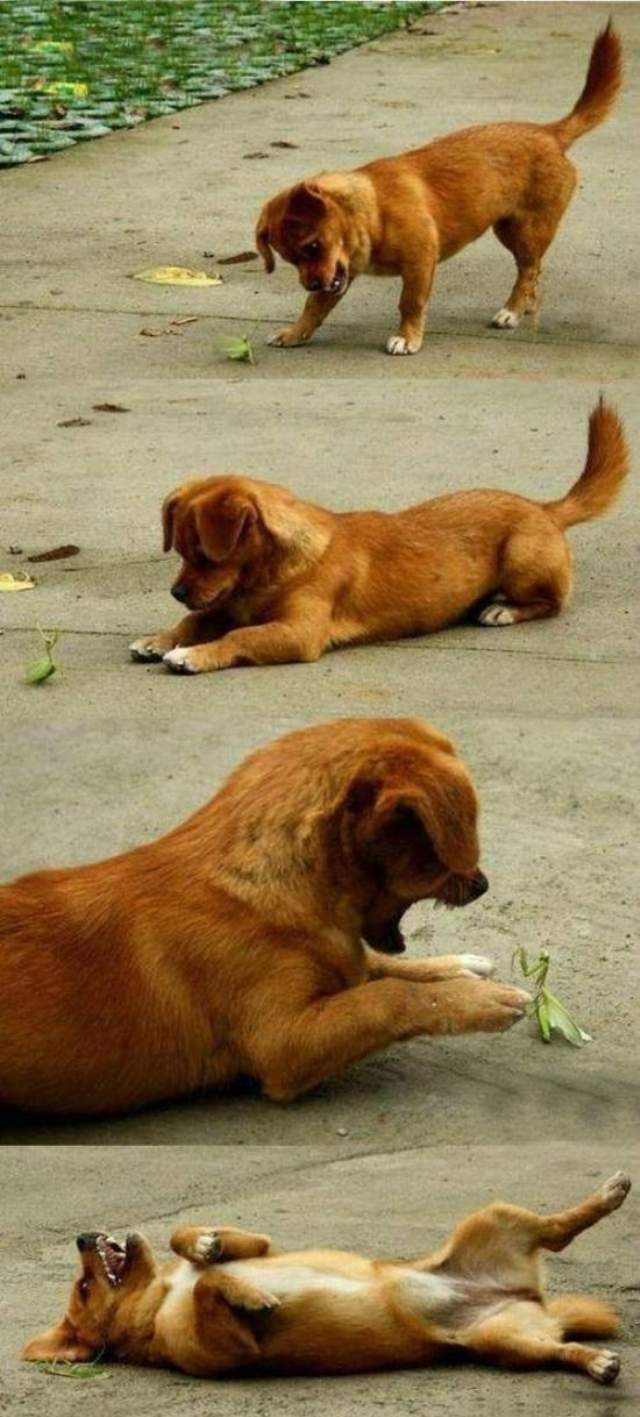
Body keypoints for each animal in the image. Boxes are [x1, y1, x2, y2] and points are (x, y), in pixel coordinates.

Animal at [0, 719, 529, 1116]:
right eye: (438, 853)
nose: (483, 884)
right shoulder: (283, 1042)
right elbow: (388, 996)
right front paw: (479, 1000)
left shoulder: (342, 960)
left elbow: (380, 968)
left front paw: (459, 969)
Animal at [23, 1173, 628, 1382]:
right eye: (83, 1288)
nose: (81, 1238)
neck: (158, 1301)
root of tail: (530, 1297)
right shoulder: (232, 1351)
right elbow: (209, 1286)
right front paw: (251, 1295)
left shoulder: (264, 1244)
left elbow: (192, 1249)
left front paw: (204, 1244)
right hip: (505, 1343)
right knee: (559, 1348)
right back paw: (595, 1362)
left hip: (496, 1217)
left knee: (557, 1228)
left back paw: (606, 1196)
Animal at [128, 399, 625, 680]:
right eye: (181, 553)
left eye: (206, 555)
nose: (176, 592)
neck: (269, 574)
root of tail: (544, 508)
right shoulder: (225, 606)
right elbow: (194, 622)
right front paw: (161, 639)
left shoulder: (296, 634)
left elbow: (238, 638)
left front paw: (194, 656)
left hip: (522, 558)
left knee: (551, 603)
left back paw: (503, 609)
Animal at [253, 22, 620, 354]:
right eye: (290, 259)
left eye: (313, 246)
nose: (311, 283)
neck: (372, 210)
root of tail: (550, 132)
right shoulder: (338, 275)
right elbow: (313, 308)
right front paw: (295, 332)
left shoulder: (418, 264)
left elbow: (409, 303)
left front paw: (408, 338)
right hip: (508, 230)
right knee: (533, 271)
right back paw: (526, 305)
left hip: (526, 232)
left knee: (528, 269)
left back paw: (512, 310)